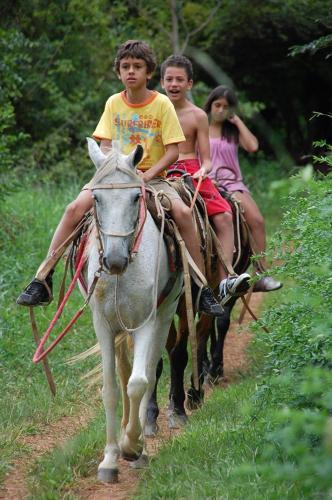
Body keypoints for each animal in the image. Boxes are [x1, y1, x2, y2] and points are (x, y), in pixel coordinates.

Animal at [83, 139, 182, 482]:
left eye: (136, 197)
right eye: (96, 198)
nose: (113, 260)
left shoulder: (147, 323)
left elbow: (139, 382)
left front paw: (132, 446)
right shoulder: (102, 325)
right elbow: (112, 389)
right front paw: (109, 459)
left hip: (165, 316)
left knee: (148, 374)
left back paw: (139, 442)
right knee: (125, 374)